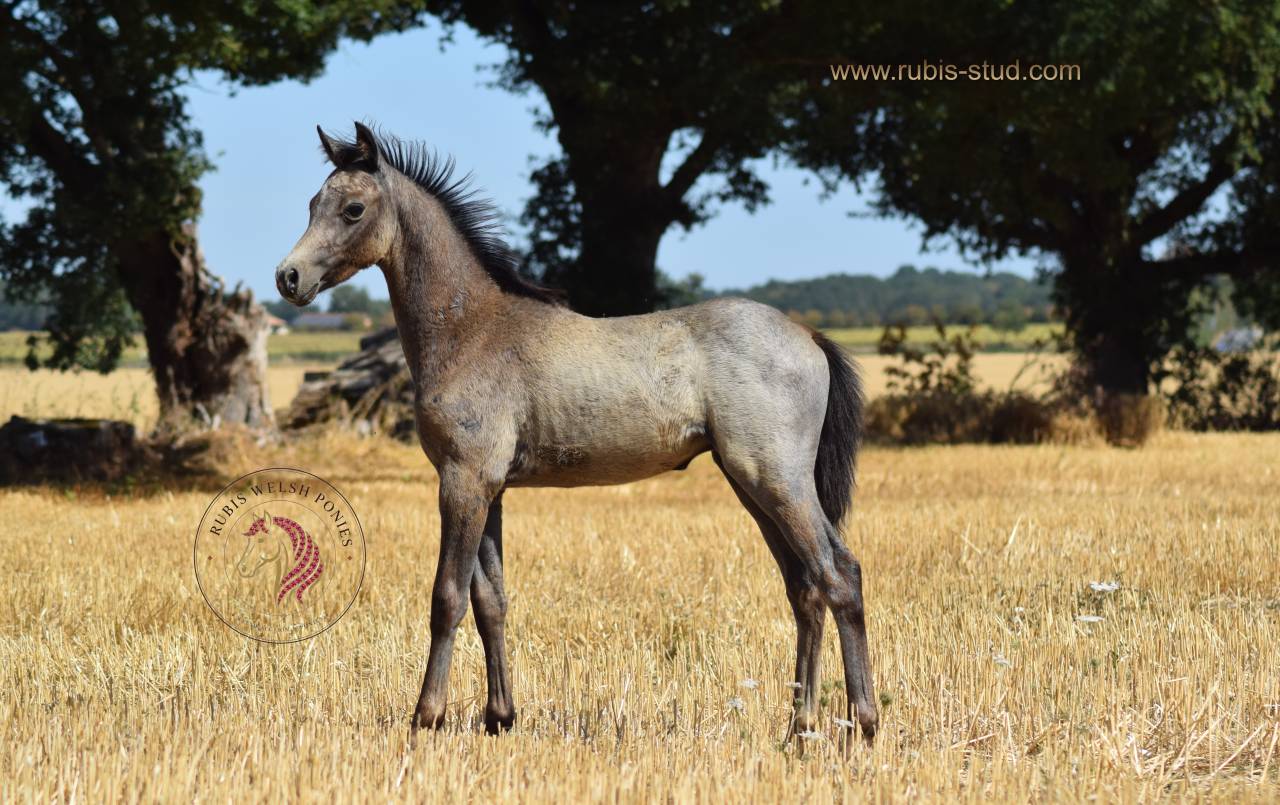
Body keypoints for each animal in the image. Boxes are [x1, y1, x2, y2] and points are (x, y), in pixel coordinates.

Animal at [274, 122, 877, 743]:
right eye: (313, 203)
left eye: (352, 209)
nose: (288, 277)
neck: (473, 330)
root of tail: (808, 336)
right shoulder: (490, 490)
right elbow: (490, 599)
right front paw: (499, 717)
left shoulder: (463, 482)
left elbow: (447, 597)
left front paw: (427, 716)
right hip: (753, 486)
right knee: (804, 586)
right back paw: (799, 728)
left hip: (778, 480)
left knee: (839, 575)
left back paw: (862, 721)